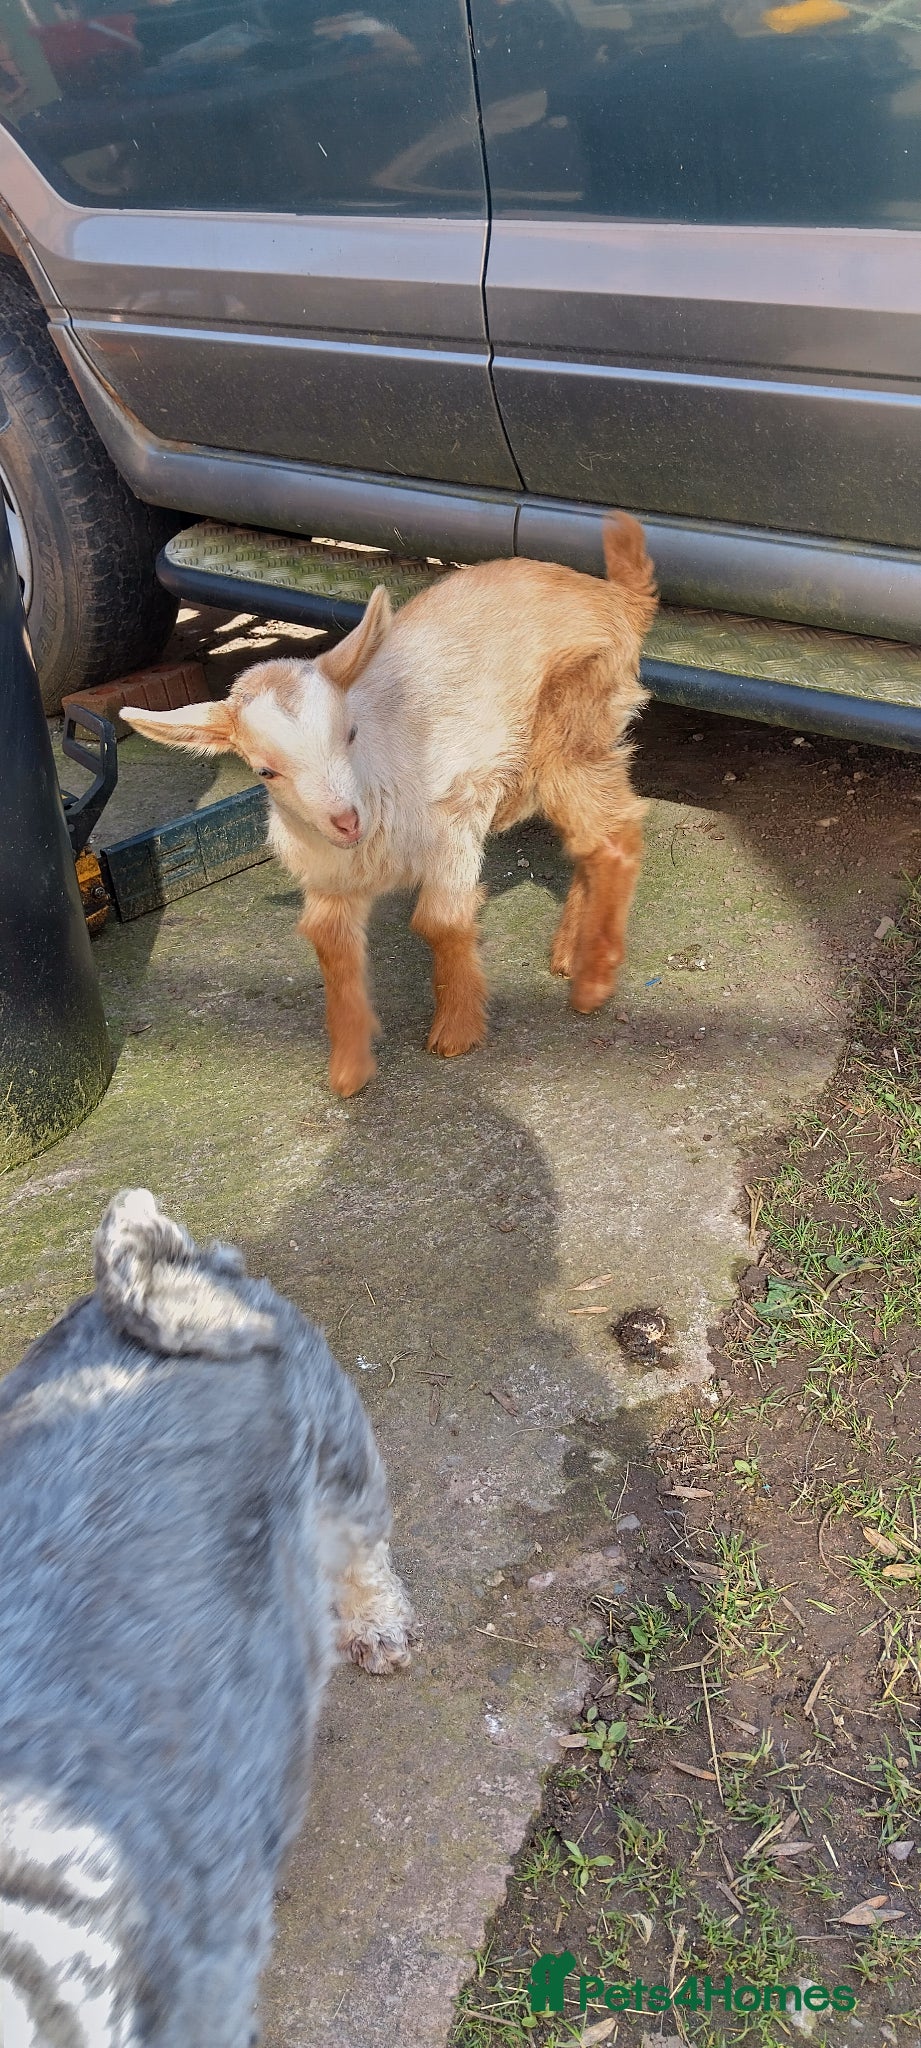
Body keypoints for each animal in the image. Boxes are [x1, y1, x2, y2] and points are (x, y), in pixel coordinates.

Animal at [124, 514, 657, 1097]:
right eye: (265, 770)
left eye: (349, 733)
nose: (346, 820)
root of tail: (618, 597)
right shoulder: (330, 874)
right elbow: (331, 943)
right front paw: (349, 1070)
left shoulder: (455, 816)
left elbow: (440, 922)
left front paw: (456, 1032)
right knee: (592, 838)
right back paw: (569, 953)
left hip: (573, 728)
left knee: (615, 838)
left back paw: (592, 983)